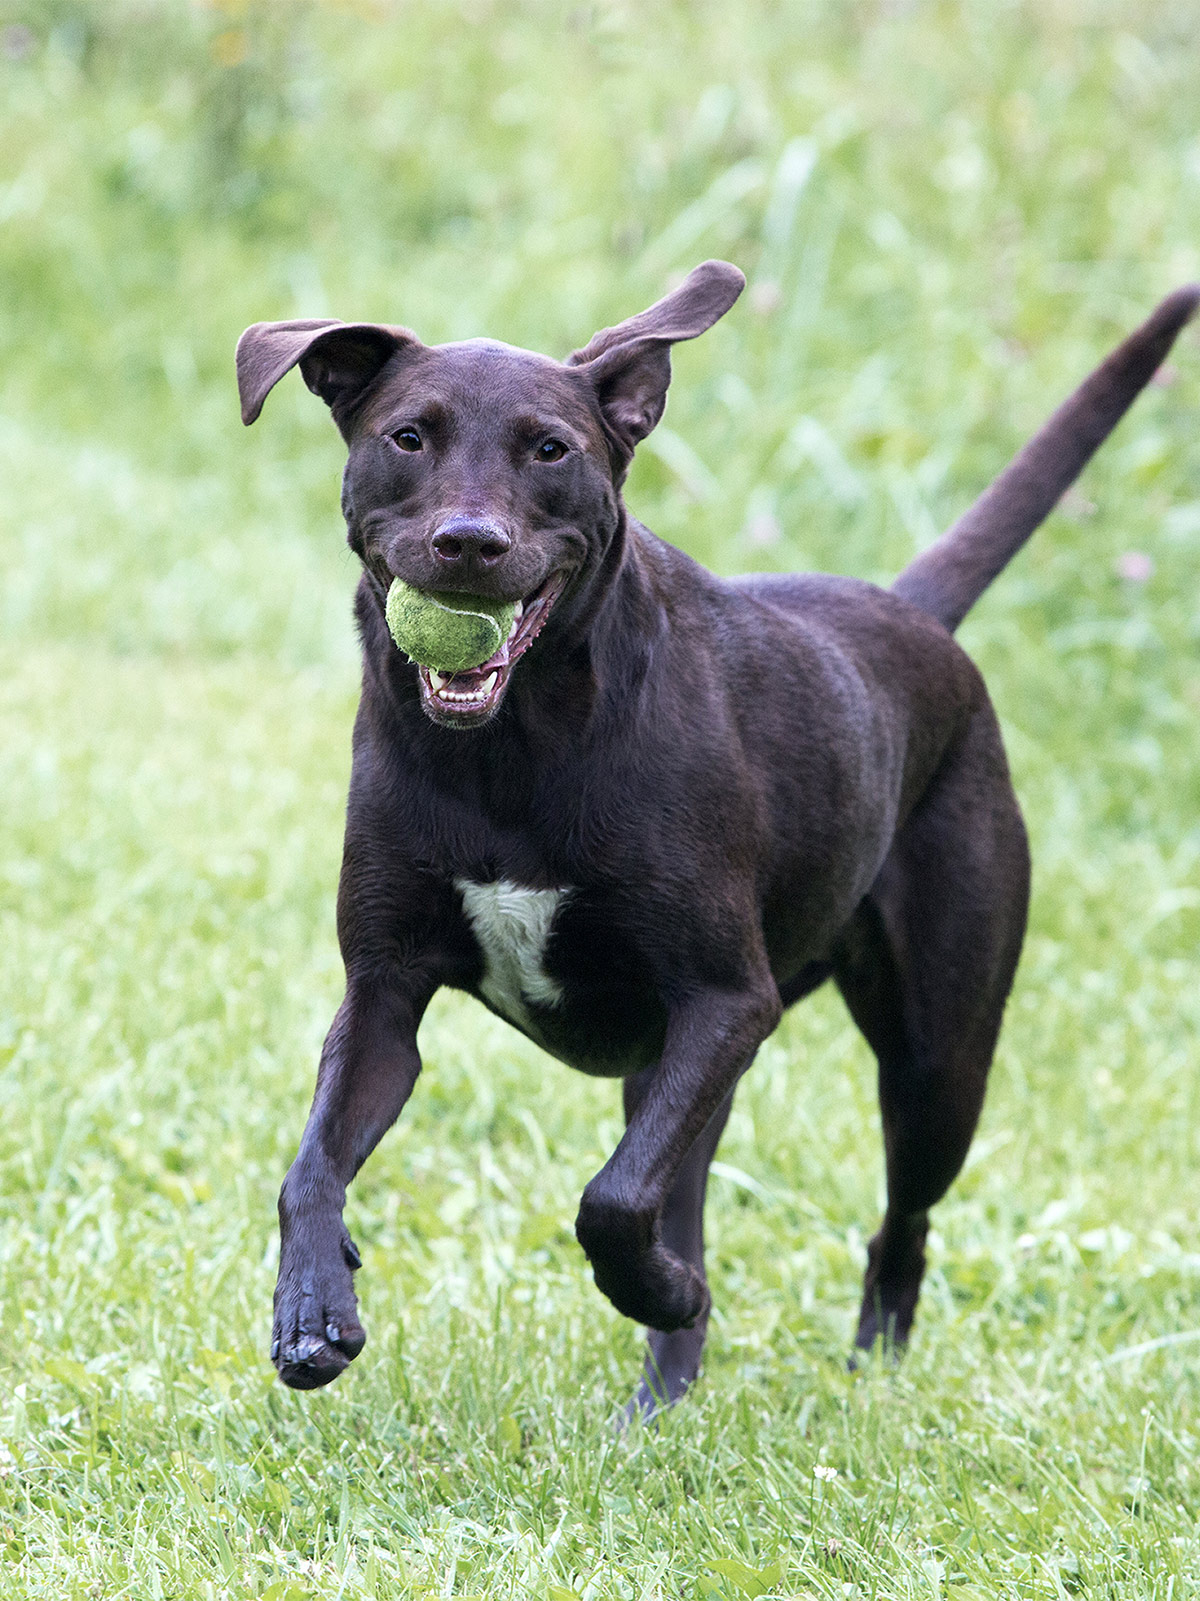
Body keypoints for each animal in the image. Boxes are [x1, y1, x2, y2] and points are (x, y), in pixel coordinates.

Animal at [236, 262, 1200, 1415]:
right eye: (409, 437)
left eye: (550, 449)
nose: (468, 543)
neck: (511, 748)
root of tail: (915, 616)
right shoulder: (385, 991)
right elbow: (310, 1165)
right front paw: (311, 1310)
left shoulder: (725, 999)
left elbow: (611, 1199)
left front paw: (662, 1289)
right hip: (693, 1071)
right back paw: (660, 1400)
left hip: (935, 1057)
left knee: (899, 1216)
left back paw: (861, 1361)